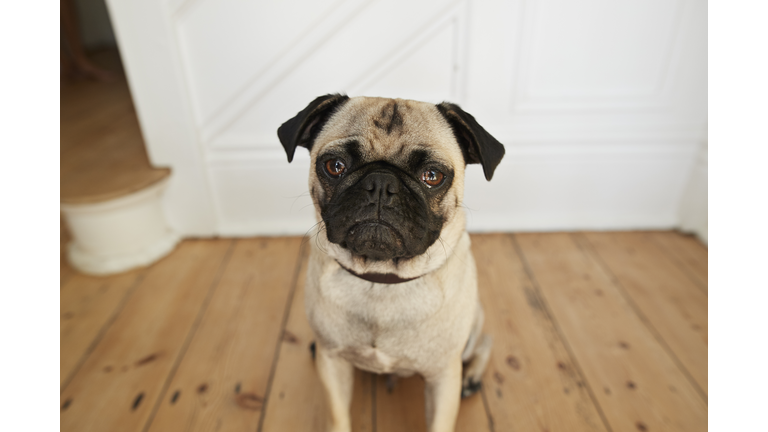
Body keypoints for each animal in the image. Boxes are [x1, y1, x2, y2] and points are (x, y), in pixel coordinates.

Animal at [276, 95, 504, 432]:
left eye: (432, 176)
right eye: (335, 166)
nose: (381, 184)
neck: (381, 277)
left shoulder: (442, 376)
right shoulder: (333, 365)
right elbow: (338, 416)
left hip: (473, 327)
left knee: (484, 342)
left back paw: (472, 377)